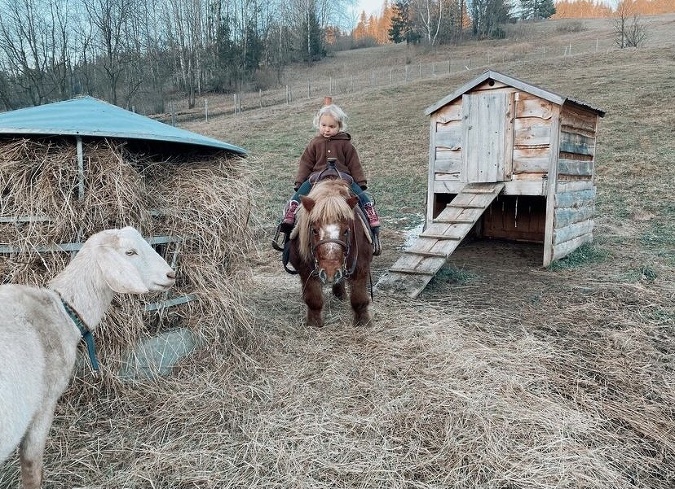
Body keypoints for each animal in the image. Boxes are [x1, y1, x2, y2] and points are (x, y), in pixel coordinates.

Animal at [286, 177, 374, 326]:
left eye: (346, 230)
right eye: (314, 230)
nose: (330, 271)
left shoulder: (361, 264)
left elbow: (359, 297)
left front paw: (363, 322)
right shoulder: (305, 268)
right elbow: (313, 298)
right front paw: (314, 323)